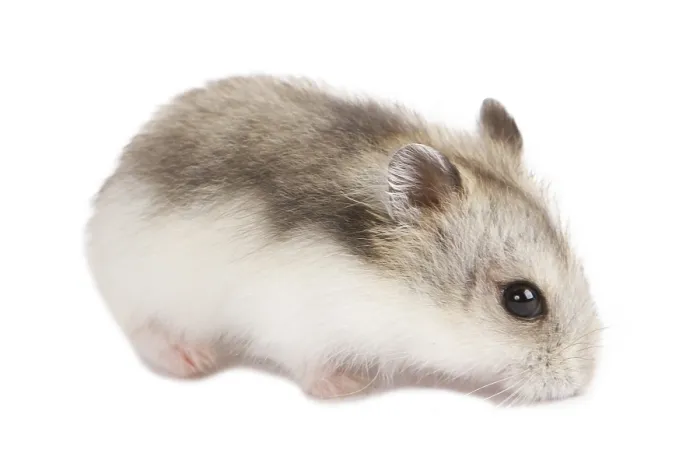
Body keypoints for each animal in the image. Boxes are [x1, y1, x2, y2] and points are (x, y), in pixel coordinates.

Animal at [85, 75, 602, 403]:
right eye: (521, 300)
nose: (580, 383)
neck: (394, 292)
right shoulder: (295, 323)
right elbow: (311, 364)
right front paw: (350, 387)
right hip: (145, 288)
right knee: (145, 330)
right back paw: (190, 359)